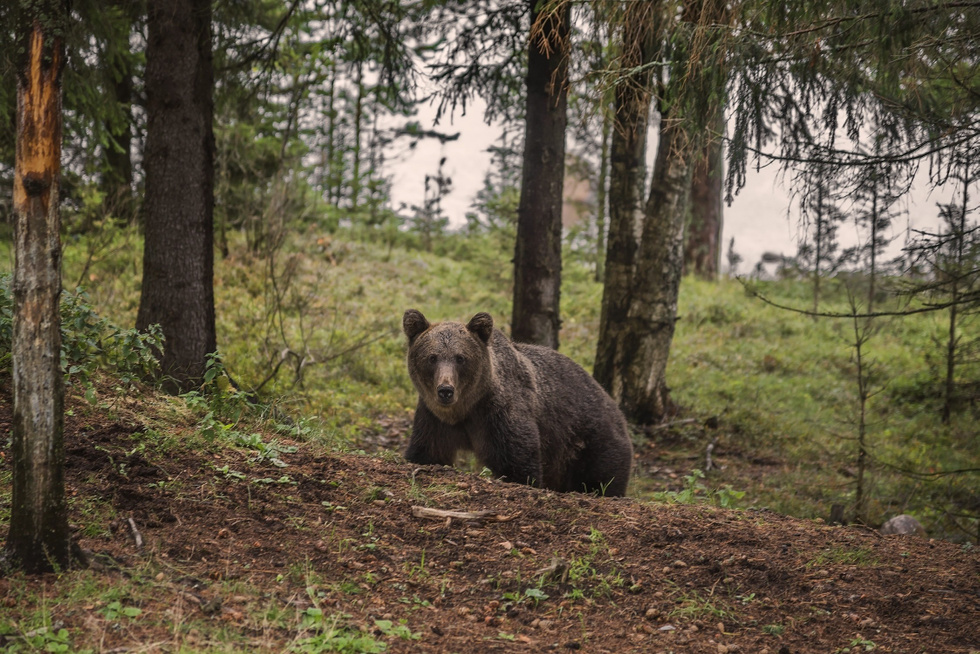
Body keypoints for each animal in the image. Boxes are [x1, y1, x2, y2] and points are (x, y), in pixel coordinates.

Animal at [402, 308, 632, 498]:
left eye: (460, 358)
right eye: (432, 357)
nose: (445, 390)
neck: (465, 410)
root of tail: (614, 405)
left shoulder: (498, 414)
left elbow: (518, 462)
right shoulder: (434, 419)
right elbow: (428, 452)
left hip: (591, 440)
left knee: (602, 477)